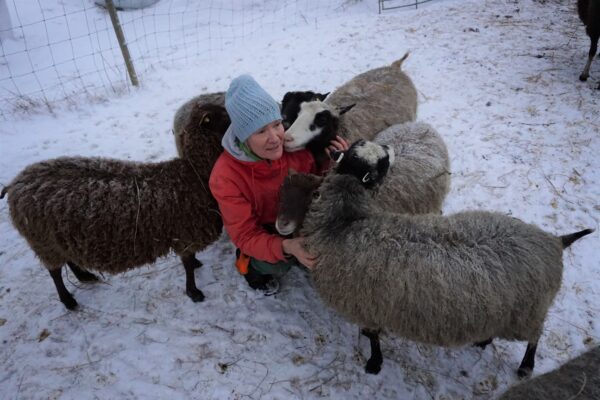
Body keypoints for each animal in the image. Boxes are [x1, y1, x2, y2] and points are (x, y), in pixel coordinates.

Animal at [0, 103, 230, 310]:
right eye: (225, 116)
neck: (194, 173)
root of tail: (14, 183)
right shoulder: (186, 233)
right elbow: (187, 265)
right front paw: (194, 292)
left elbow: (190, 261)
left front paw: (196, 271)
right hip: (43, 242)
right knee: (54, 273)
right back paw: (68, 301)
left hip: (58, 238)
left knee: (69, 259)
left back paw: (85, 275)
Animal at [296, 139, 592, 376]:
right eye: (381, 162)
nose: (389, 146)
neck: (344, 221)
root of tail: (553, 241)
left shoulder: (365, 307)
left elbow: (372, 337)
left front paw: (374, 363)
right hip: (507, 311)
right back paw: (483, 341)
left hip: (527, 314)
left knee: (535, 338)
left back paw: (525, 367)